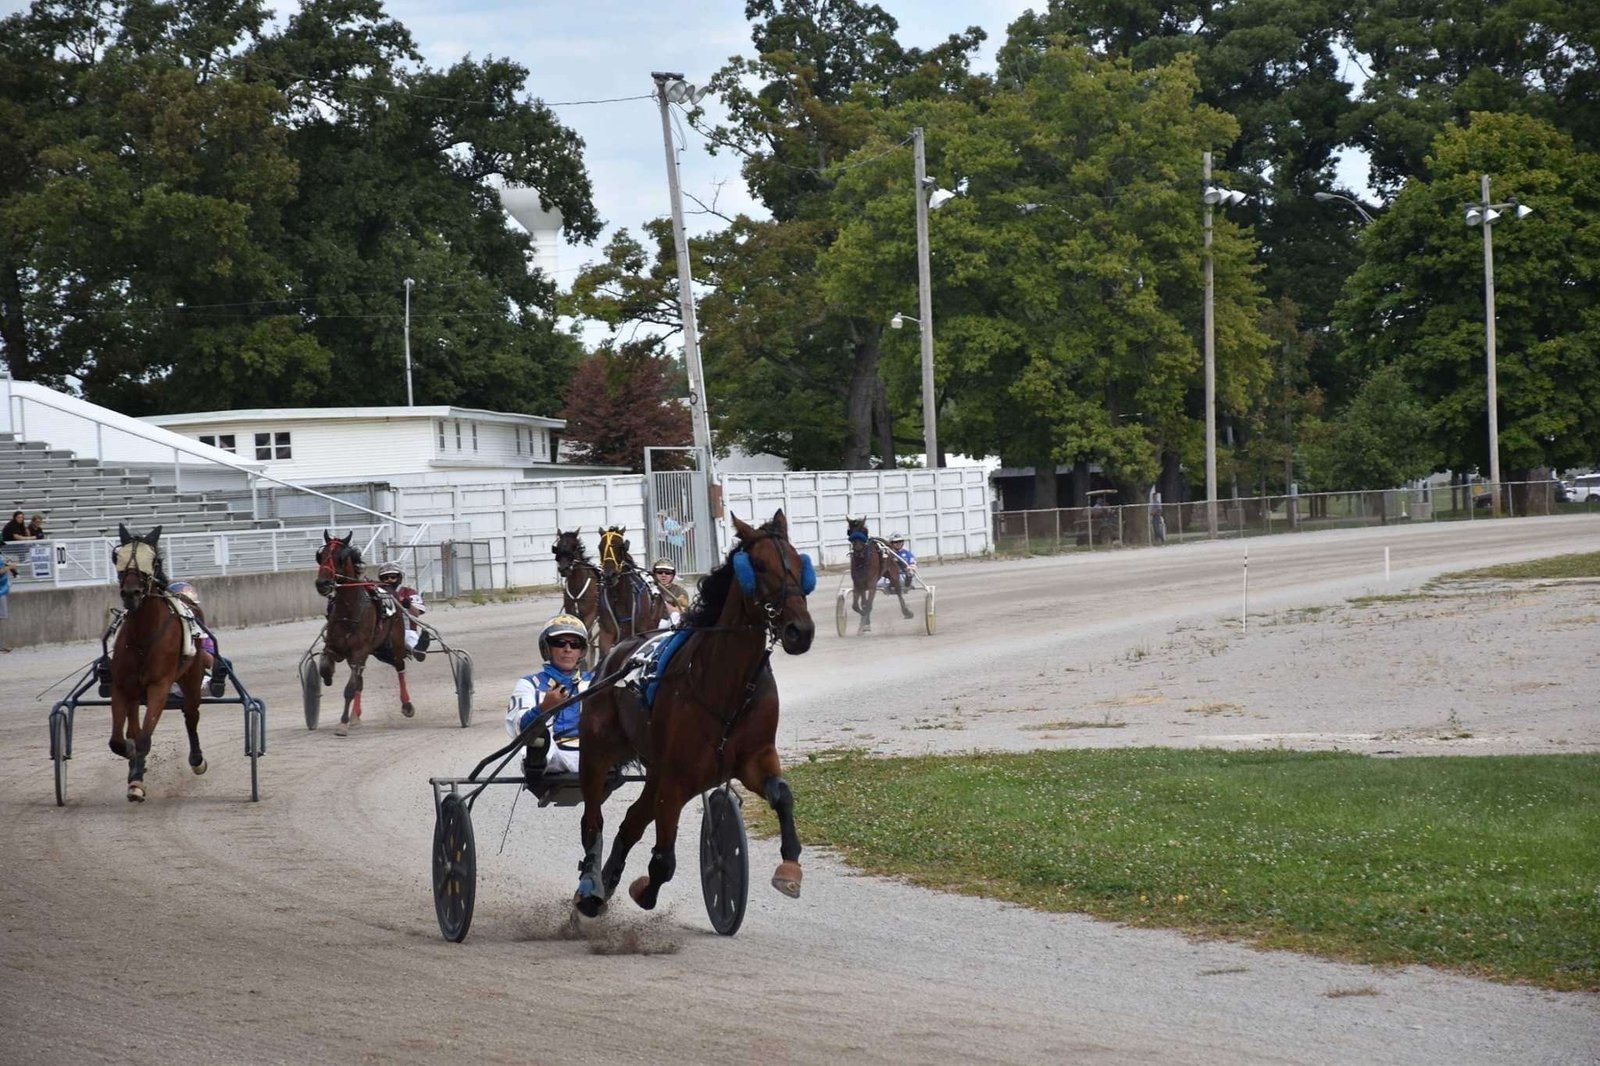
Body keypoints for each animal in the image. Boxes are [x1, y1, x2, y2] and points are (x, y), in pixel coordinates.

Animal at [108, 521, 211, 797]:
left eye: (153, 560)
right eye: (117, 557)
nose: (131, 592)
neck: (143, 635)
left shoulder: (160, 685)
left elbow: (145, 738)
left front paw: (136, 780)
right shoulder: (121, 685)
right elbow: (118, 741)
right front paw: (133, 763)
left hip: (192, 677)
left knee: (191, 715)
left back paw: (197, 760)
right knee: (133, 725)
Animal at [313, 528, 412, 736]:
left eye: (340, 557)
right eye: (321, 555)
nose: (322, 583)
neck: (349, 611)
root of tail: (390, 590)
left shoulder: (358, 653)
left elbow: (350, 688)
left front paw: (342, 723)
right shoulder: (334, 648)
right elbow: (326, 667)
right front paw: (328, 677)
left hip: (396, 642)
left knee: (399, 667)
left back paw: (407, 705)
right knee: (361, 679)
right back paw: (355, 716)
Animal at [595, 521, 668, 656]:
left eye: (620, 547)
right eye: (600, 547)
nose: (609, 575)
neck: (619, 597)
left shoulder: (640, 632)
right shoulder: (606, 634)